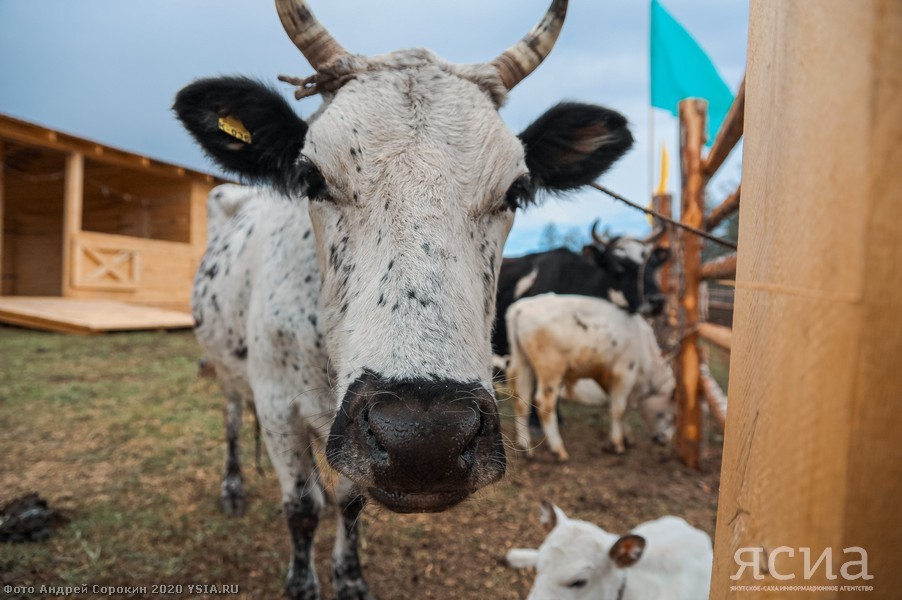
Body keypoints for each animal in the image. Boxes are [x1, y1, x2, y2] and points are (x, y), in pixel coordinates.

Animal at [175, 1, 636, 596]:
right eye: (310, 177)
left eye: (515, 191)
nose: (425, 440)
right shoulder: (278, 407)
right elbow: (301, 508)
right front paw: (303, 581)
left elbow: (348, 504)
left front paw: (349, 576)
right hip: (228, 367)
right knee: (233, 414)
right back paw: (232, 486)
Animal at [504, 292, 676, 460]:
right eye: (667, 413)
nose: (664, 440)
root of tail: (522, 307)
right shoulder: (624, 373)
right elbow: (618, 410)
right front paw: (618, 444)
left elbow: (618, 407)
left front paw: (627, 437)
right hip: (551, 370)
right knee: (544, 404)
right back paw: (558, 449)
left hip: (523, 363)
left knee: (521, 401)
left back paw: (526, 448)